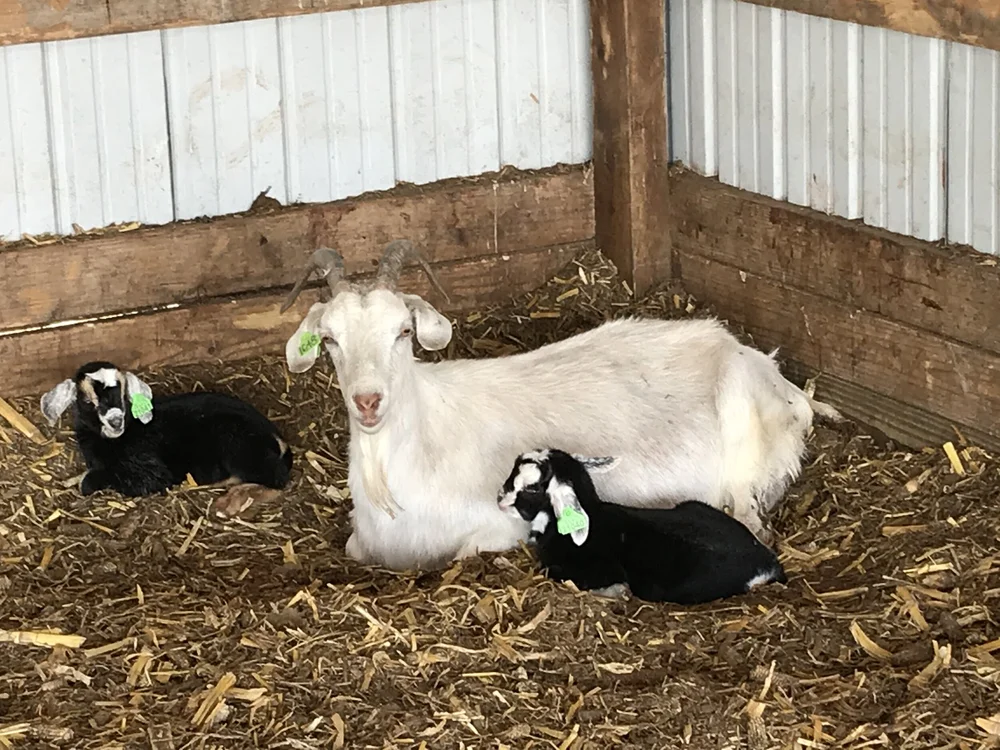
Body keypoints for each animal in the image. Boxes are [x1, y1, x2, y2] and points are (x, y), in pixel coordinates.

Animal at [40, 361, 293, 499]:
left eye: (123, 396)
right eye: (87, 401)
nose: (115, 421)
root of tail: (277, 438)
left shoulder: (150, 470)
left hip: (237, 443)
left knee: (276, 478)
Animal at [281, 241, 841, 571]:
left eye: (402, 331)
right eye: (329, 340)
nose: (368, 401)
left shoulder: (498, 524)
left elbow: (467, 548)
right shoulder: (363, 543)